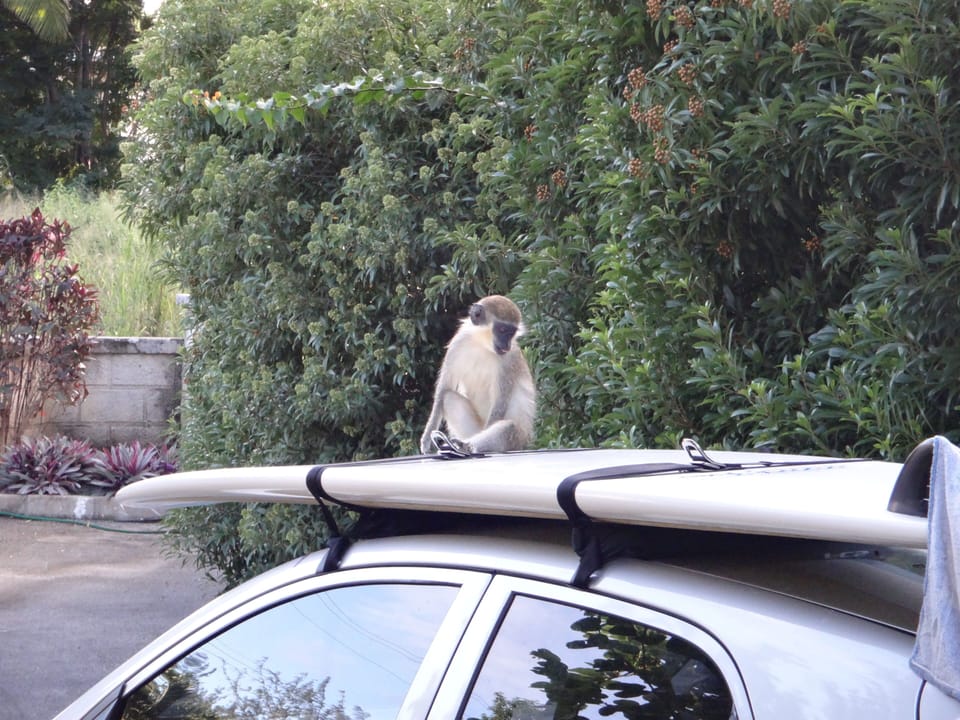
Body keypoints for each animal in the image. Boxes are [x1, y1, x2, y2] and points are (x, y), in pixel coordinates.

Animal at [420, 295, 536, 455]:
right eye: (502, 329)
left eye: (511, 332)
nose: (506, 345)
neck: (481, 344)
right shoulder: (457, 344)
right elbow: (445, 387)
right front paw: (427, 436)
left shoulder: (508, 360)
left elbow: (500, 401)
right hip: (473, 429)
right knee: (448, 398)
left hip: (517, 440)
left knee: (507, 429)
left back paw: (466, 446)